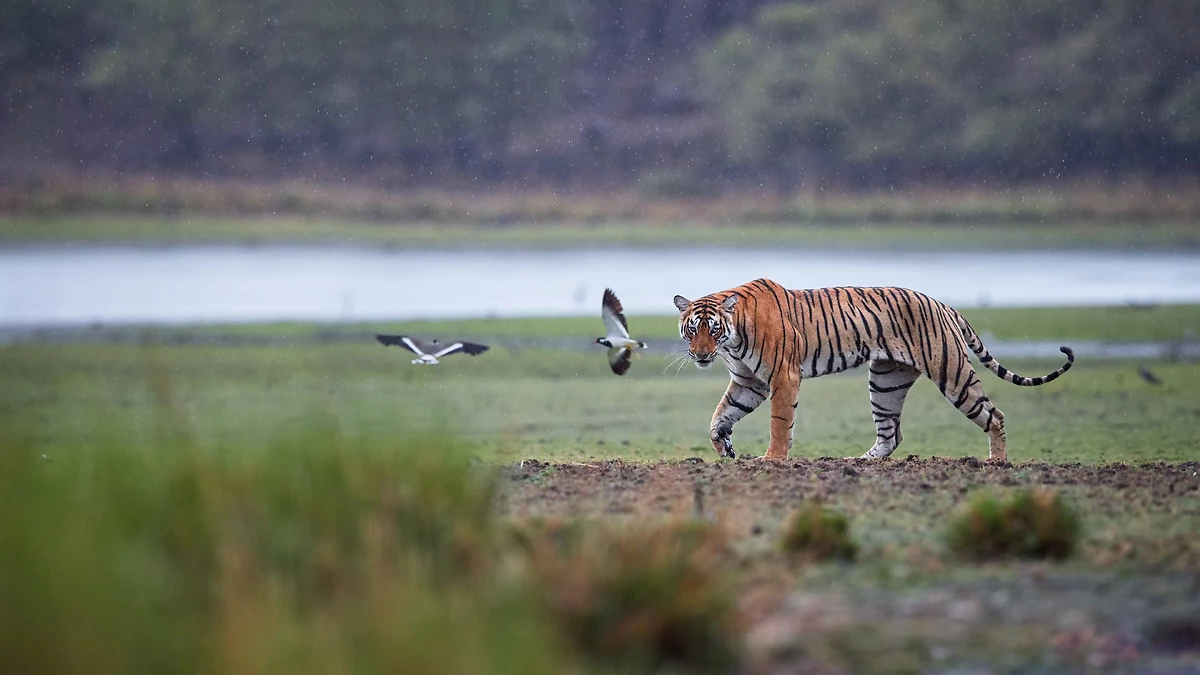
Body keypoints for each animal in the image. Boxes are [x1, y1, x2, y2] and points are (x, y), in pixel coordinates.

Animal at [672, 278, 1074, 462]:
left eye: (713, 330)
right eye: (693, 329)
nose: (701, 354)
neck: (733, 338)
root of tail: (942, 302)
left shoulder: (782, 377)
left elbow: (779, 422)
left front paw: (771, 460)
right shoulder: (749, 382)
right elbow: (719, 416)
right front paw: (724, 448)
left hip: (953, 374)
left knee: (995, 415)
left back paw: (997, 463)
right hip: (885, 381)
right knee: (891, 434)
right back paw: (861, 461)